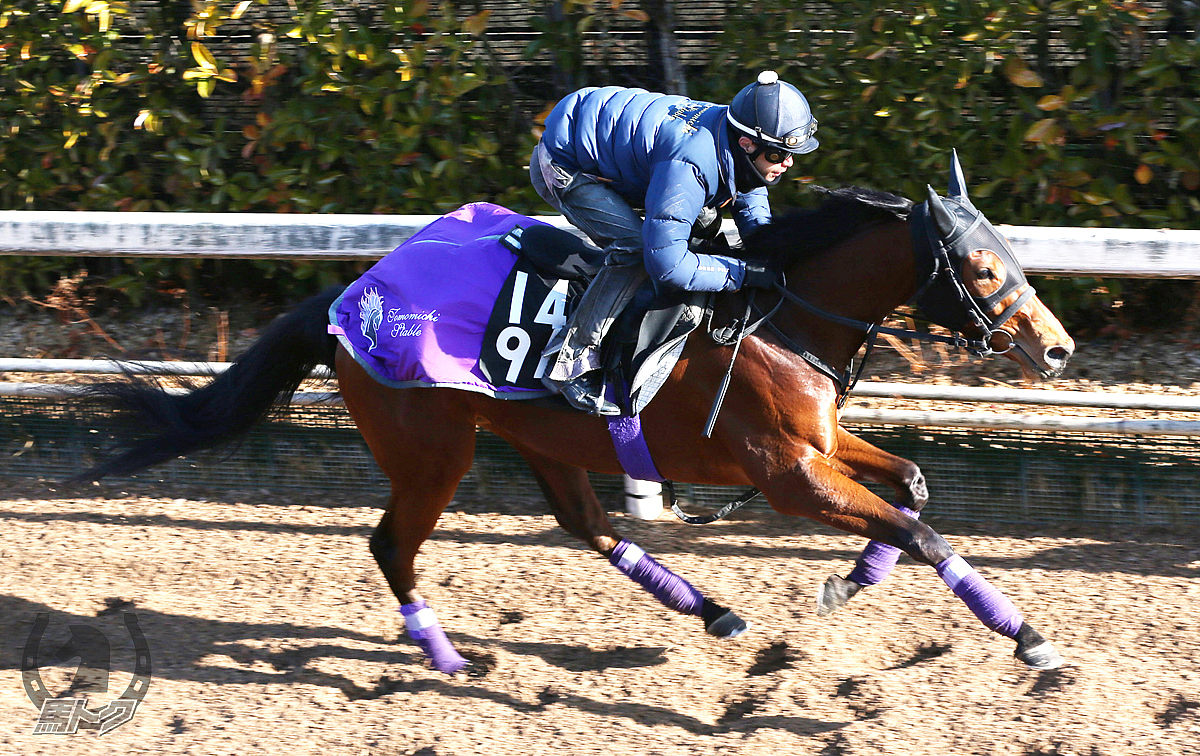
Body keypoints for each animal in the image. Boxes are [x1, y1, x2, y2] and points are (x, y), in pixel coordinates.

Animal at [77, 153, 1080, 676]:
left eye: (1007, 250)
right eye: (980, 266)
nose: (1059, 348)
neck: (781, 314)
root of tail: (349, 298)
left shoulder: (822, 444)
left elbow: (911, 488)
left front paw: (848, 581)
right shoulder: (786, 474)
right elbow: (921, 531)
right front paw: (1028, 637)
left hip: (542, 436)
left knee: (588, 525)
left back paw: (715, 613)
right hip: (433, 452)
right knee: (393, 543)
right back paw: (451, 659)